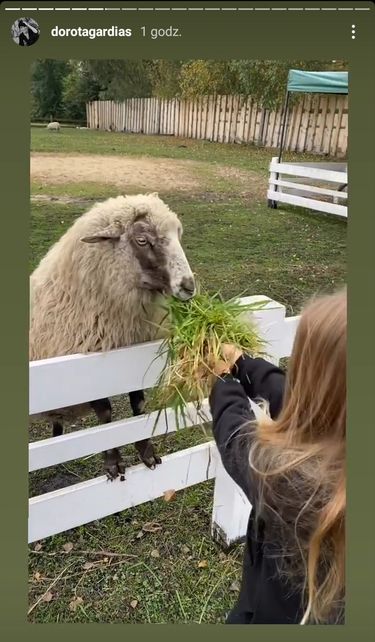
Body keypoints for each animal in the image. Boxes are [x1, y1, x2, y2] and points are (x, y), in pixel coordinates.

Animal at [29, 192, 197, 478]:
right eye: (142, 240)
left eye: (178, 234)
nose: (188, 286)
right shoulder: (89, 367)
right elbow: (105, 417)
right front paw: (113, 463)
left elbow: (139, 406)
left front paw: (147, 452)